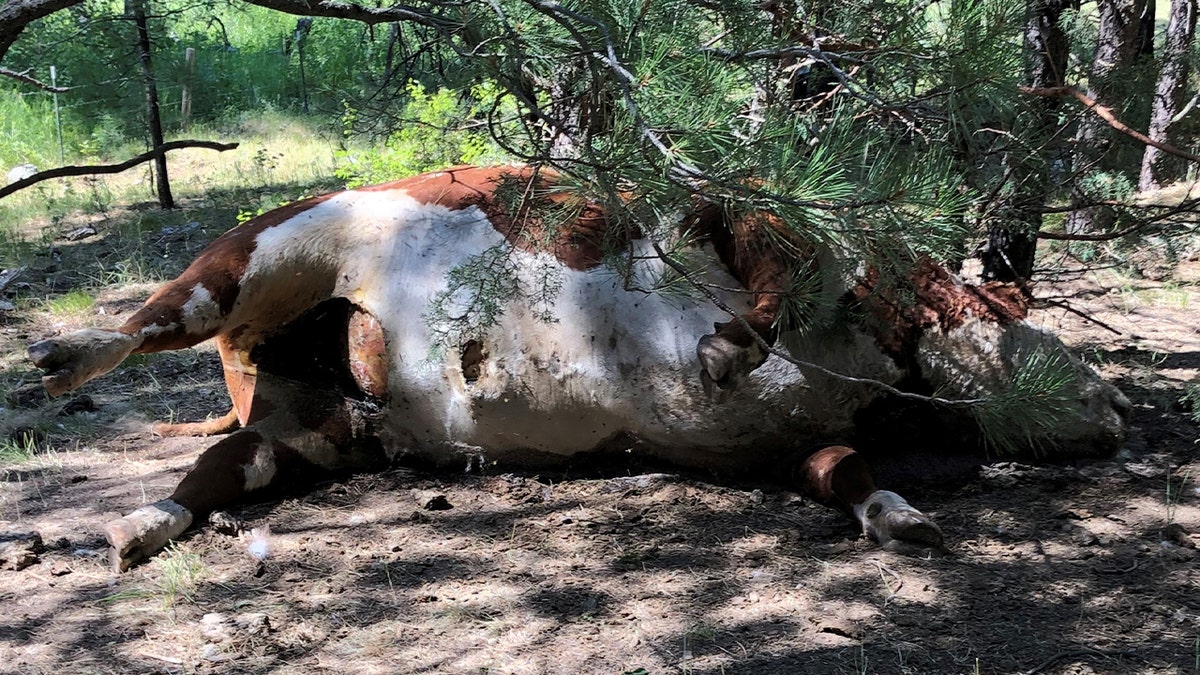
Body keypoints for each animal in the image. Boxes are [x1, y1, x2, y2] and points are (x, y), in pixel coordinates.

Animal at [26, 165, 1130, 571]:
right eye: (1034, 326)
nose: (1118, 408)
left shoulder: (783, 448)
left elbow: (847, 473)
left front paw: (902, 517)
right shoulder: (747, 212)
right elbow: (764, 288)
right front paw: (726, 346)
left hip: (317, 429)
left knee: (220, 469)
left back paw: (135, 528)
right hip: (259, 255)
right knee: (154, 318)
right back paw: (60, 352)